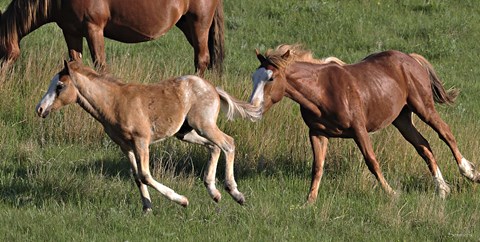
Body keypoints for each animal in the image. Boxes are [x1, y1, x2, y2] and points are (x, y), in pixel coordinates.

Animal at [0, 0, 225, 75]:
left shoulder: (93, 29)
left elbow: (101, 65)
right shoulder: (71, 32)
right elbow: (75, 63)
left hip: (199, 24)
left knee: (201, 60)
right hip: (188, 25)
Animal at [36, 60, 262, 212]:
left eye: (60, 86)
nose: (40, 109)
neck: (115, 103)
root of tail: (213, 88)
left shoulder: (141, 141)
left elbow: (145, 174)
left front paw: (182, 200)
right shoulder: (125, 146)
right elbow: (137, 177)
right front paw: (147, 208)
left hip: (203, 125)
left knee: (228, 143)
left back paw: (235, 194)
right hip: (185, 133)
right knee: (214, 147)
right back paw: (214, 193)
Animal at [249, 44, 480, 203]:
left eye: (271, 78)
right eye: (254, 77)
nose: (252, 108)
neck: (322, 90)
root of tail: (411, 59)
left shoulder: (359, 130)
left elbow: (372, 161)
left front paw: (391, 193)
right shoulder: (317, 133)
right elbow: (318, 167)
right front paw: (309, 201)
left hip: (424, 108)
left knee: (446, 133)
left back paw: (470, 173)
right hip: (402, 119)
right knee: (424, 146)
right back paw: (442, 189)